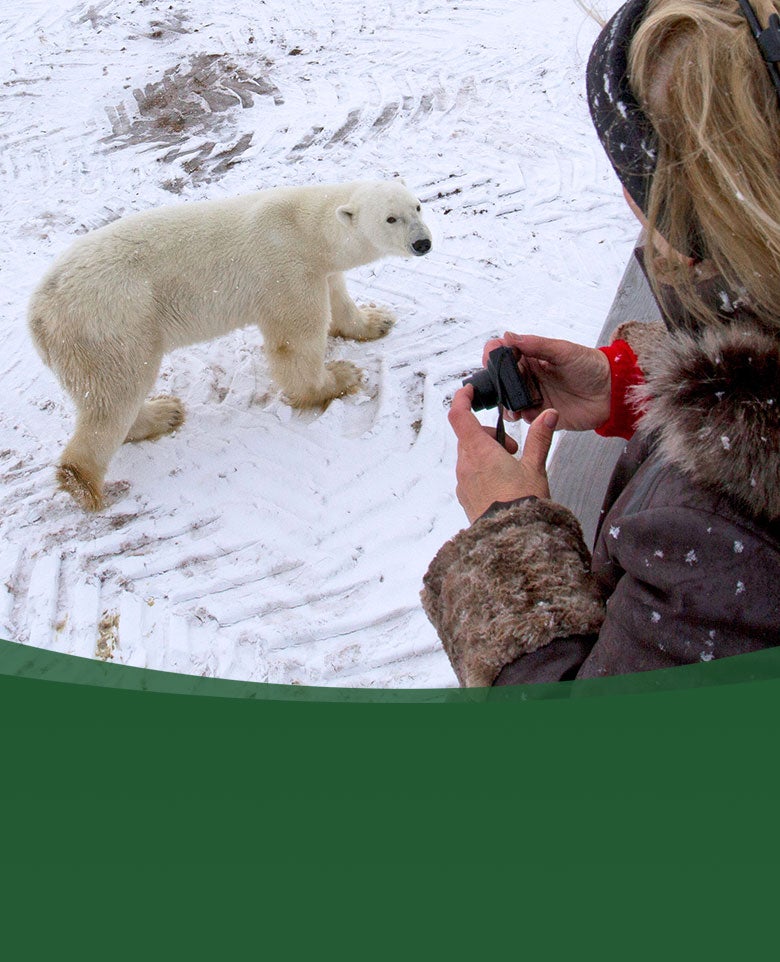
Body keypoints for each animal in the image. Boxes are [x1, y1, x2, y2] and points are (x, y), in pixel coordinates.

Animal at [28, 179, 432, 512]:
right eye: (390, 218)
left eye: (417, 206)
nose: (423, 242)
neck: (306, 227)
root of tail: (38, 313)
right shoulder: (287, 271)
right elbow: (296, 341)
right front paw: (339, 377)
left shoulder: (319, 269)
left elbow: (339, 297)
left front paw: (376, 320)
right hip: (112, 321)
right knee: (114, 394)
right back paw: (84, 481)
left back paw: (164, 412)